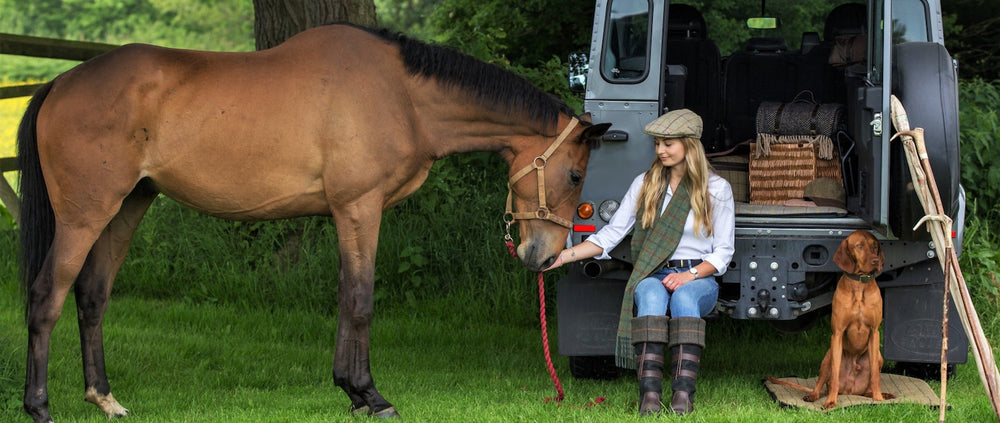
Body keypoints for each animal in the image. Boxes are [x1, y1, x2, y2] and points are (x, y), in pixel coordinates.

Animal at [17, 24, 608, 423]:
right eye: (575, 173)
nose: (544, 256)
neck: (402, 95)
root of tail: (60, 82)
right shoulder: (360, 208)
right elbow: (362, 299)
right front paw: (372, 395)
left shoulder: (348, 214)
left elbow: (346, 295)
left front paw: (350, 391)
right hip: (85, 214)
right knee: (46, 296)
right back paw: (39, 405)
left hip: (127, 208)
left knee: (92, 296)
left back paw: (105, 397)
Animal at [768, 230, 896, 410]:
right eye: (859, 246)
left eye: (875, 246)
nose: (876, 261)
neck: (859, 287)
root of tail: (850, 391)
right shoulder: (837, 334)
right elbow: (834, 375)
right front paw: (831, 402)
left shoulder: (874, 332)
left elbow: (875, 377)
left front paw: (878, 399)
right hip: (827, 357)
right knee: (822, 384)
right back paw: (814, 396)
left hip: (878, 357)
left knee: (868, 388)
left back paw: (880, 394)